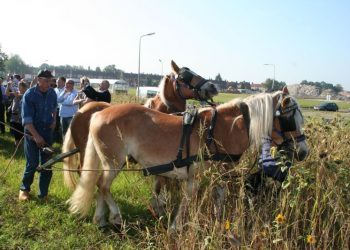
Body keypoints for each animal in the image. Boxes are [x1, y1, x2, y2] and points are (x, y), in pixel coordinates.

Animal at [67, 87, 308, 229]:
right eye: (290, 119)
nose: (303, 152)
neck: (222, 130)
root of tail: (98, 113)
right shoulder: (195, 177)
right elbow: (187, 201)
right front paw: (175, 226)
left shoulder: (219, 176)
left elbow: (219, 198)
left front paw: (218, 223)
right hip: (114, 161)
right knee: (103, 185)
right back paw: (115, 216)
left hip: (108, 162)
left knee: (100, 186)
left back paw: (100, 219)